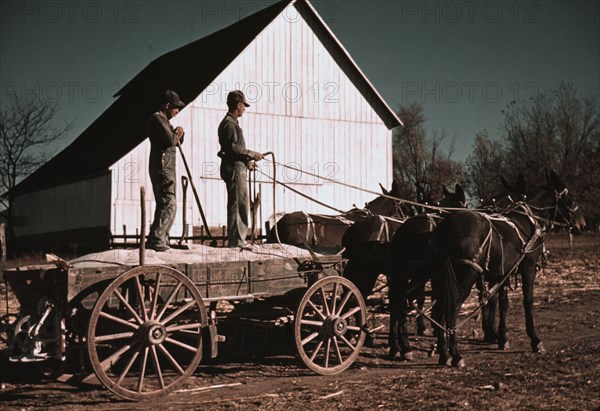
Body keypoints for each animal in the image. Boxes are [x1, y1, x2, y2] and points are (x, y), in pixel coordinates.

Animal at [428, 169, 584, 368]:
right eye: (569, 198)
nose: (581, 224)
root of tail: (445, 227)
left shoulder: (500, 274)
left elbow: (502, 303)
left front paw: (501, 337)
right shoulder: (528, 268)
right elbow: (527, 301)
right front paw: (535, 339)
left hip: (441, 279)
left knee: (439, 310)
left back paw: (444, 353)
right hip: (464, 279)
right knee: (451, 310)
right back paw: (455, 354)